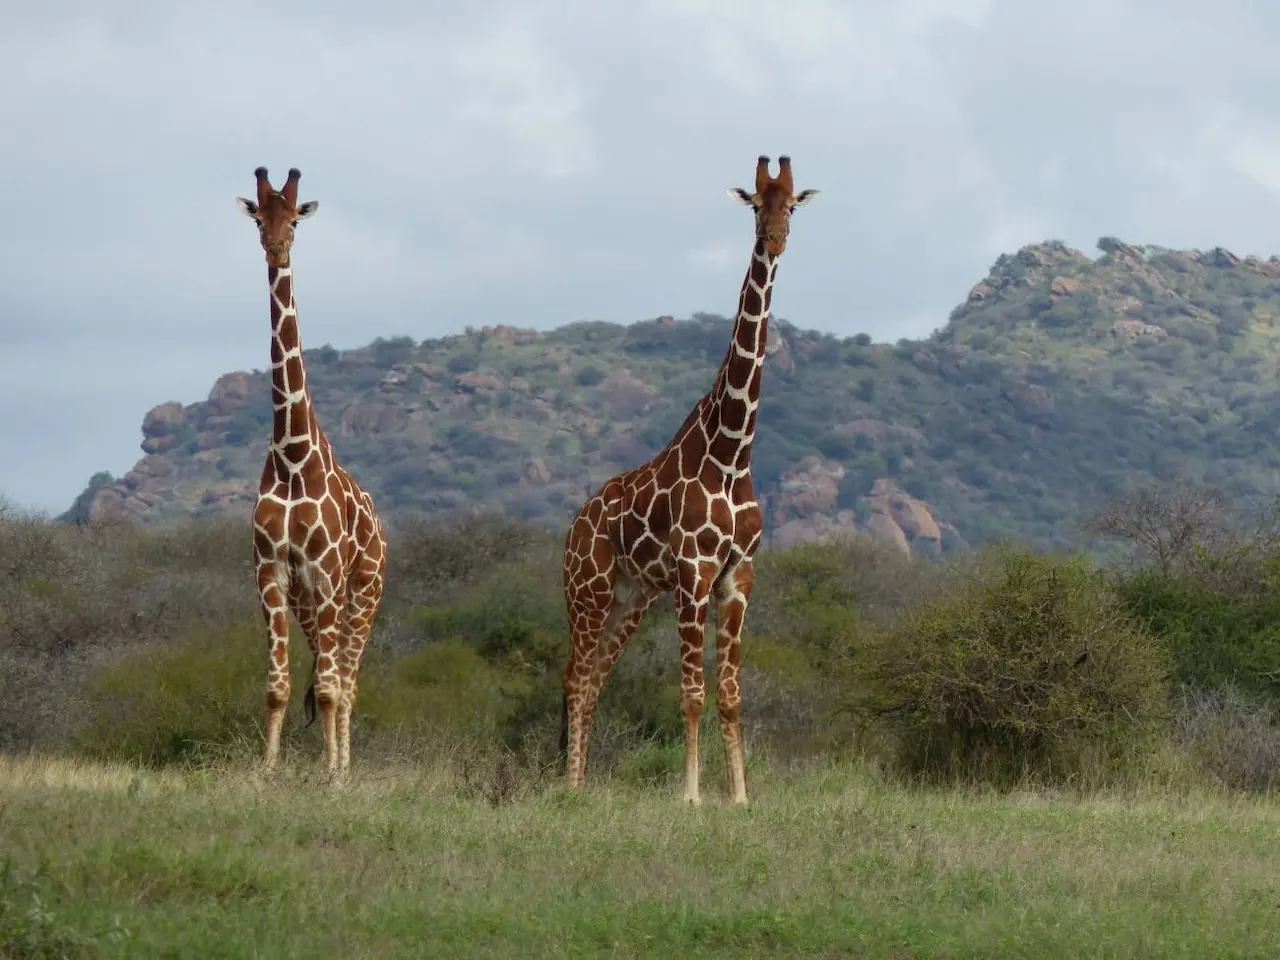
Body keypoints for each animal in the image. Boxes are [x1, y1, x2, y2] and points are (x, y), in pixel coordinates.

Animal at [560, 156, 819, 803]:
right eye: (754, 204)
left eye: (791, 205)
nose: (775, 239)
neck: (731, 452)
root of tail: (575, 524)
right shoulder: (693, 575)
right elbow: (693, 695)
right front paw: (692, 796)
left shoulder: (737, 577)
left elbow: (729, 695)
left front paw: (742, 797)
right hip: (587, 590)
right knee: (574, 676)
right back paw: (567, 788)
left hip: (630, 597)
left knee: (594, 679)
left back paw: (581, 784)